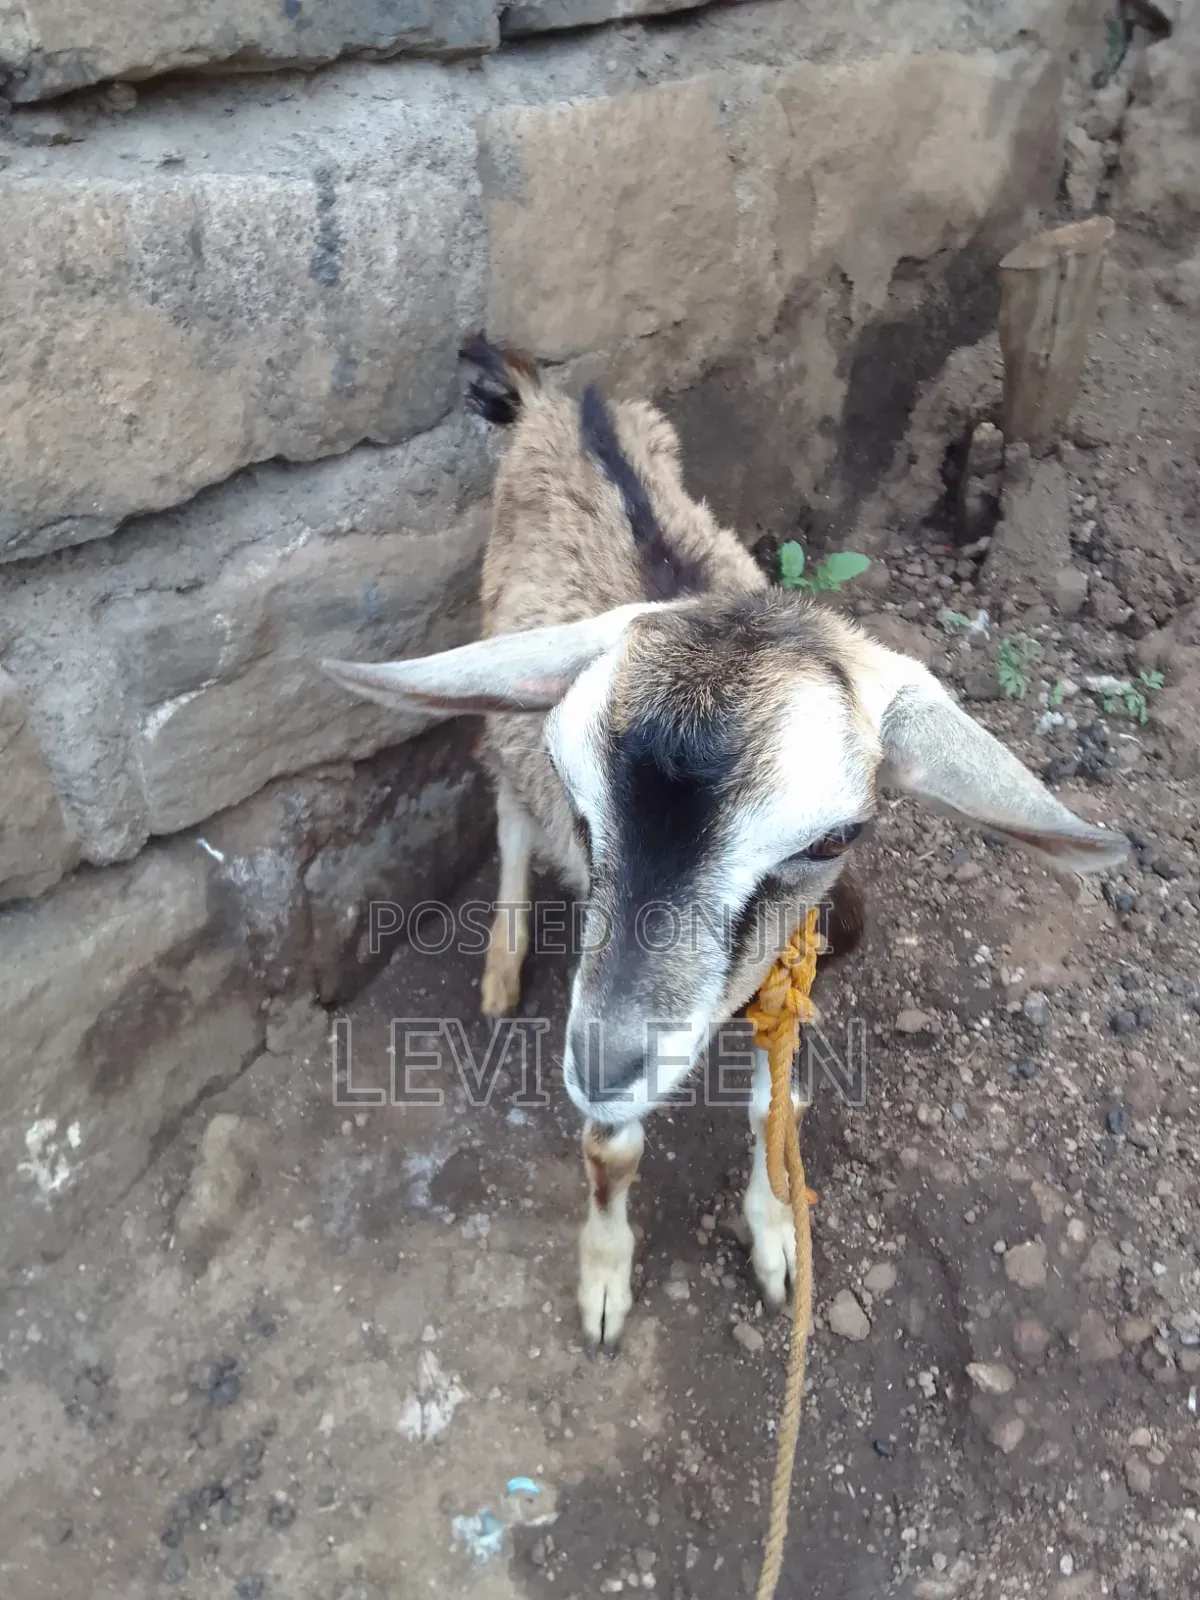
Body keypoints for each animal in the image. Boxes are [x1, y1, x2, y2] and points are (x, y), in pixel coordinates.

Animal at [324, 338, 1128, 1349]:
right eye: (584, 806)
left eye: (834, 838)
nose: (604, 1061)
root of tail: (559, 402)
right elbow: (610, 1151)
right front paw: (604, 1284)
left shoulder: (794, 969)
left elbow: (775, 1107)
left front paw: (777, 1235)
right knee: (504, 803)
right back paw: (503, 964)